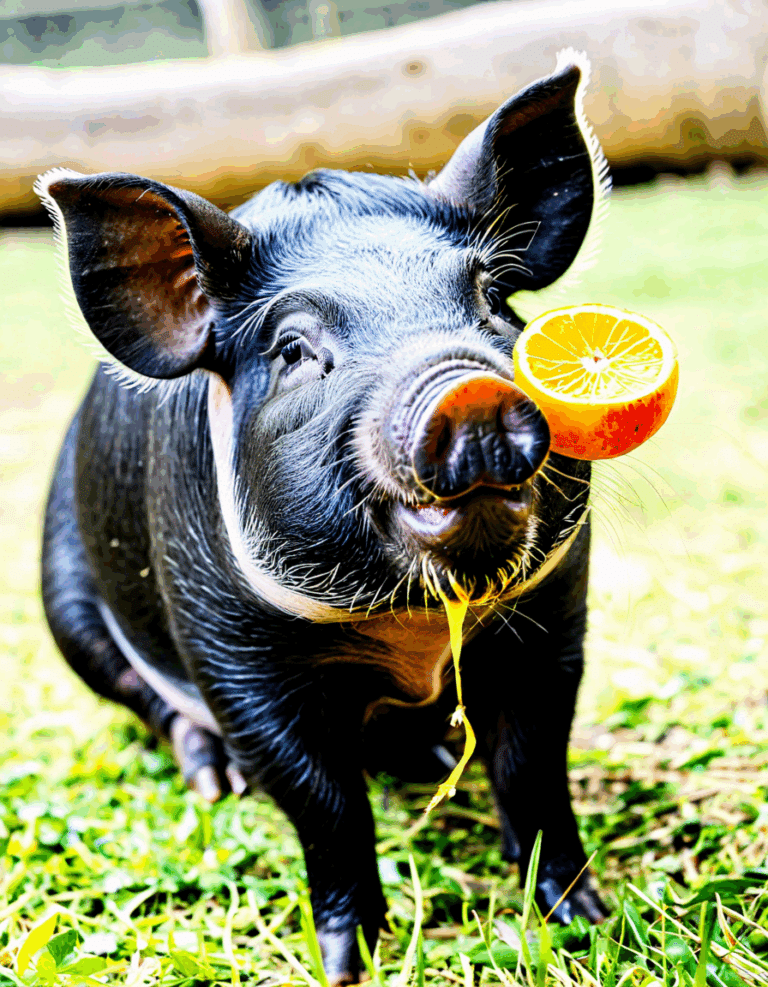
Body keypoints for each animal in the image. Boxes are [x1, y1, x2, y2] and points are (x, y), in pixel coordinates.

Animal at [39, 51, 610, 984]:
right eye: (295, 349)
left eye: (492, 298)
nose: (468, 389)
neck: (416, 625)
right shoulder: (230, 649)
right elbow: (322, 800)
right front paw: (346, 962)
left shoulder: (557, 608)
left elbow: (533, 763)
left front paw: (584, 917)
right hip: (65, 605)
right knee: (152, 706)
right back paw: (213, 783)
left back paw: (434, 755)